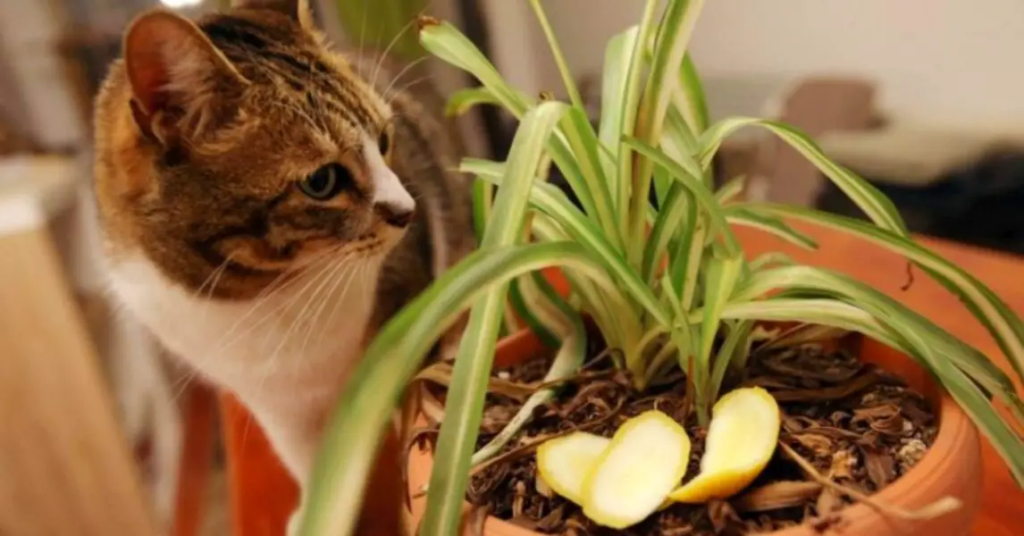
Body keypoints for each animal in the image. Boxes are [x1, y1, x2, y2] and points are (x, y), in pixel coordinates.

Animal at [92, 0, 473, 528]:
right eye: (321, 181)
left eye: (384, 140)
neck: (268, 295)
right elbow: (313, 460)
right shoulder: (275, 404)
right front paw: (320, 511)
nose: (408, 210)